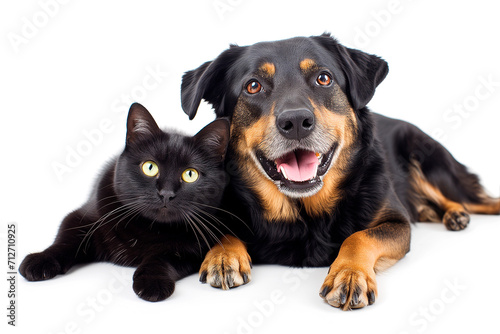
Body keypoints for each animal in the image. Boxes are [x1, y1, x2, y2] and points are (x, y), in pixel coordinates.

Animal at [19, 103, 230, 302]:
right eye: (150, 167)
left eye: (190, 174)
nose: (166, 193)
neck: (151, 228)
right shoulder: (81, 216)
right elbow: (65, 240)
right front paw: (40, 260)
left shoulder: (195, 248)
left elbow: (163, 258)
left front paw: (153, 282)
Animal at [180, 32, 500, 310]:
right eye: (253, 85)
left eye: (324, 78)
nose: (296, 122)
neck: (305, 213)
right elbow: (222, 230)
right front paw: (224, 254)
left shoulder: (397, 223)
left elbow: (359, 237)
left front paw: (350, 275)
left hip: (430, 162)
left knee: (473, 198)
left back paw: (457, 213)